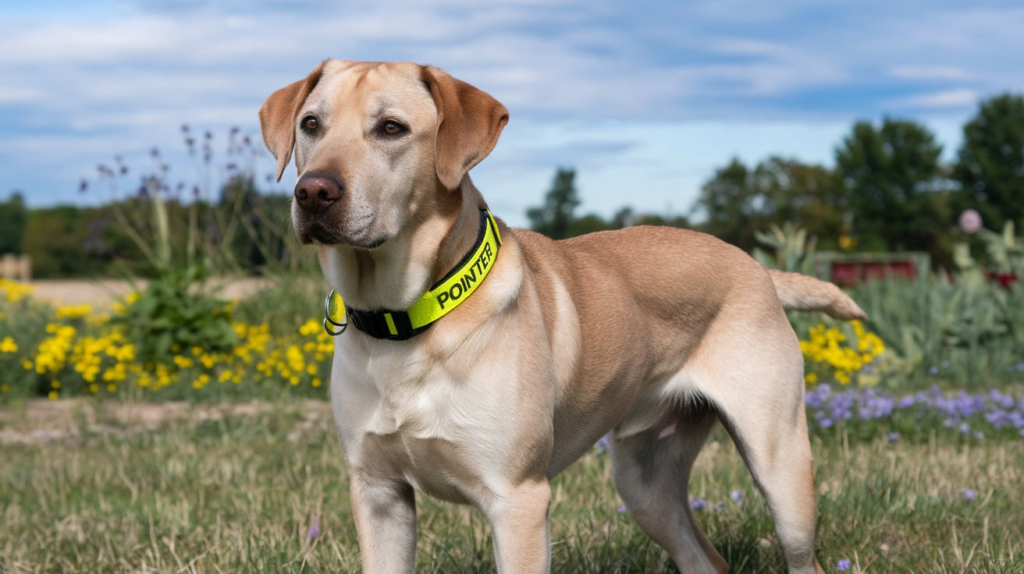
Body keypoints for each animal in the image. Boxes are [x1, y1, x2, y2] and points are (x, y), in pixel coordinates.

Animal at [260, 59, 860, 572]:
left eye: (391, 128)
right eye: (311, 124)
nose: (313, 192)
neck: (408, 321)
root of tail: (757, 266)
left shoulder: (518, 499)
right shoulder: (379, 494)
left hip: (782, 471)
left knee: (803, 556)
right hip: (645, 484)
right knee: (703, 558)